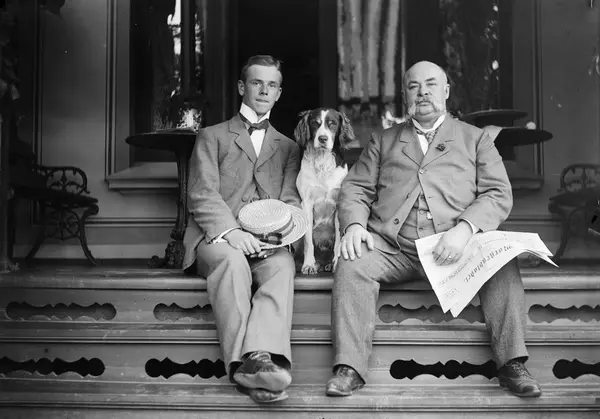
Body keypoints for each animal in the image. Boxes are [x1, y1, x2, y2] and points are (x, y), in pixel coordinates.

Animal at [293, 108, 355, 275]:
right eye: (315, 123)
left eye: (332, 124)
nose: (322, 138)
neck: (323, 161)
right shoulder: (306, 203)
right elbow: (308, 240)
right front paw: (308, 264)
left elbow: (339, 239)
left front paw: (336, 263)